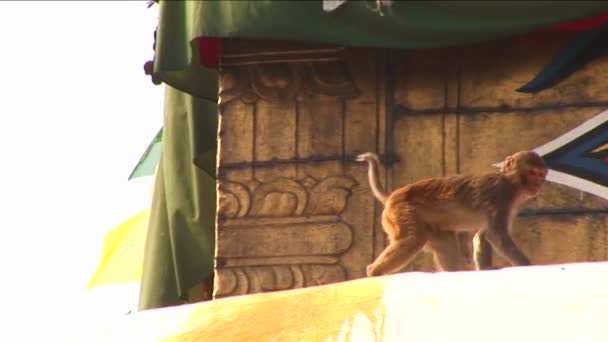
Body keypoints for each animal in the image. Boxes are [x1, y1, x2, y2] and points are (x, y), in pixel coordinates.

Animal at [354, 151, 548, 276]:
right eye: (532, 173)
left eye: (540, 174)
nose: (538, 184)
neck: (513, 182)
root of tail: (392, 196)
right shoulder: (501, 195)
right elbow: (496, 235)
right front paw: (527, 265)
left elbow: (483, 235)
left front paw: (485, 269)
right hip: (402, 212)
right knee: (412, 239)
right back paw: (374, 272)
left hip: (428, 225)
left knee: (444, 244)